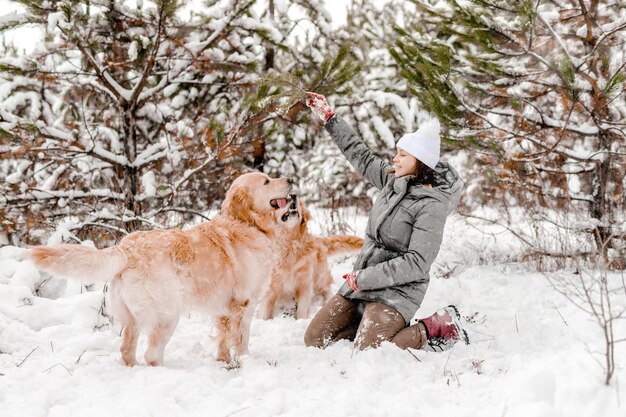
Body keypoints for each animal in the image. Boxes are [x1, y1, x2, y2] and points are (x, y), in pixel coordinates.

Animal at [29, 171, 300, 364]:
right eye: (266, 181)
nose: (291, 180)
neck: (247, 224)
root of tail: (126, 247)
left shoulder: (223, 306)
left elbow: (223, 338)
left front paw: (224, 361)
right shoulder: (245, 302)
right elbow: (242, 337)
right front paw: (245, 360)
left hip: (132, 317)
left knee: (127, 350)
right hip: (168, 314)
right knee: (151, 354)